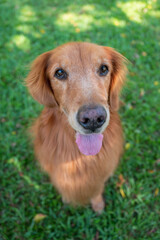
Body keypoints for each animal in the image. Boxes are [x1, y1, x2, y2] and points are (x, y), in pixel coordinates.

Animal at [25, 42, 127, 213]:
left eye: (103, 69)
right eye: (59, 73)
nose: (93, 119)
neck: (81, 156)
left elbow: (96, 190)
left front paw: (98, 205)